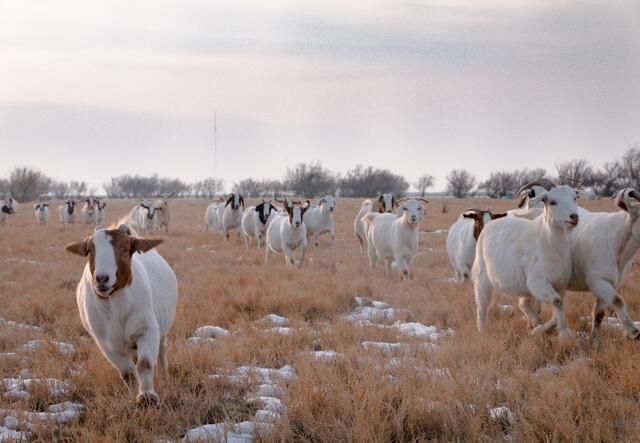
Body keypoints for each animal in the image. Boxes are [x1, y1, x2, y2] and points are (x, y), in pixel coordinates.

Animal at [65, 224, 178, 408]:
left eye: (125, 249)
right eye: (90, 250)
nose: (102, 278)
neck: (115, 308)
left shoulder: (146, 330)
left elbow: (145, 364)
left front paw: (147, 397)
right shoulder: (106, 344)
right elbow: (128, 373)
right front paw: (134, 394)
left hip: (161, 332)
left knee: (161, 352)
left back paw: (165, 377)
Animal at [470, 181, 580, 344]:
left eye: (574, 198)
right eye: (552, 201)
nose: (574, 216)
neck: (550, 244)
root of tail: (490, 224)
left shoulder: (560, 285)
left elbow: (558, 306)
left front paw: (540, 329)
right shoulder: (538, 283)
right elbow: (557, 302)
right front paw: (565, 334)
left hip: (524, 286)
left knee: (523, 303)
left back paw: (535, 323)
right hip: (482, 278)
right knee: (482, 307)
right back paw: (482, 333)